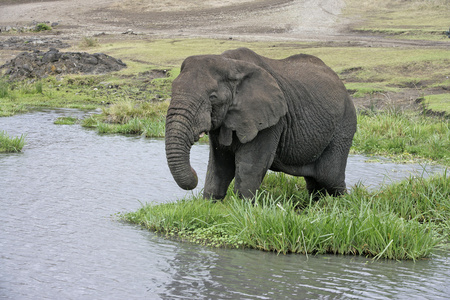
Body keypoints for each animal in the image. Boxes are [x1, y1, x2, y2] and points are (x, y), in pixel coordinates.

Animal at [163, 47, 356, 199]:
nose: (194, 172)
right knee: (316, 181)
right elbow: (220, 165)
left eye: (212, 97)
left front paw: (241, 209)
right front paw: (210, 204)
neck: (230, 64)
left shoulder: (272, 121)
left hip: (344, 125)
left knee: (330, 177)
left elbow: (251, 166)